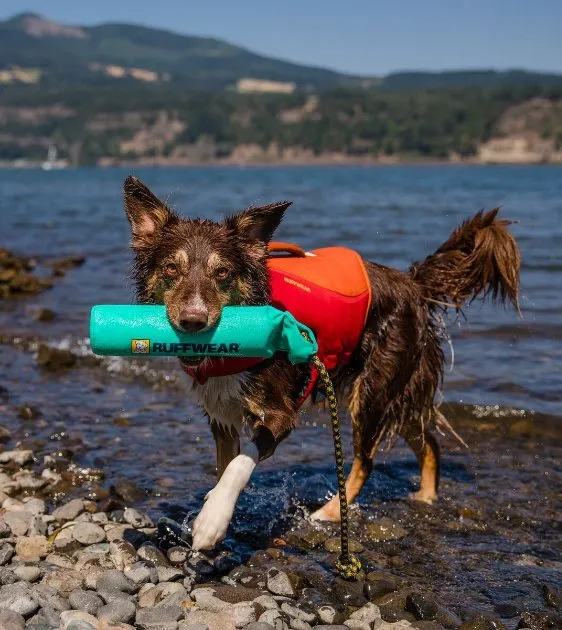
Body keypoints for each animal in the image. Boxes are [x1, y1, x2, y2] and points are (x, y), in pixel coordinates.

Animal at [122, 175, 520, 552]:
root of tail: (412, 284)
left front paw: (212, 521)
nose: (193, 321)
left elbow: (238, 465)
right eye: (171, 269)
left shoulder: (281, 413)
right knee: (429, 442)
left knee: (367, 460)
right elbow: (223, 467)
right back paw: (424, 497)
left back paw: (328, 514)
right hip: (390, 393)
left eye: (222, 273)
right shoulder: (221, 415)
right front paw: (215, 510)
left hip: (372, 391)